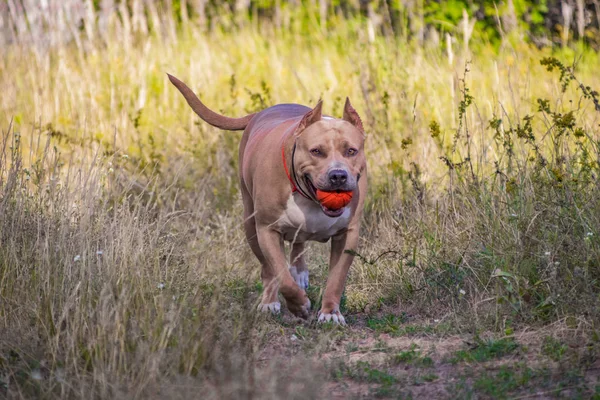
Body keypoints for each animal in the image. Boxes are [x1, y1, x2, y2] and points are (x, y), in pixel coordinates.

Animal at [166, 74, 368, 324]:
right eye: (316, 151)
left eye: (351, 151)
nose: (338, 175)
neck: (307, 196)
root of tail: (261, 113)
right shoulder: (267, 230)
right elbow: (281, 274)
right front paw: (299, 305)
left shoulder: (348, 234)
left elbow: (337, 278)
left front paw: (330, 313)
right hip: (250, 224)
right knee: (268, 269)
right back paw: (270, 301)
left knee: (298, 243)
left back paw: (299, 272)